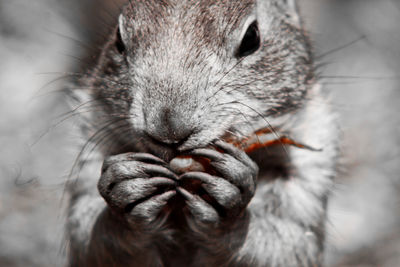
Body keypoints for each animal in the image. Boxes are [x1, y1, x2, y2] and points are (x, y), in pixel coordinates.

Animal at [65, 1, 338, 266]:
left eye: (252, 37)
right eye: (118, 41)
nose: (168, 128)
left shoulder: (307, 174)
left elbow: (285, 245)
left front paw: (230, 201)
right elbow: (92, 241)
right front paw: (125, 188)